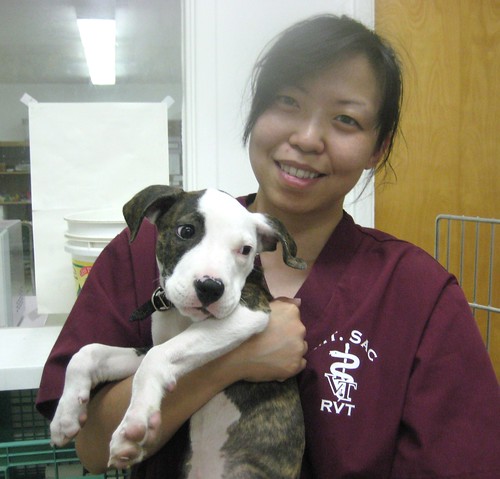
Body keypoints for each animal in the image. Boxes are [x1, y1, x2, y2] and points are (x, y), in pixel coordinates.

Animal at [52, 186, 306, 478]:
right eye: (186, 231)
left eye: (246, 250)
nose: (210, 287)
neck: (182, 315)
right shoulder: (153, 344)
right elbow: (87, 352)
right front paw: (66, 415)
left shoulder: (249, 312)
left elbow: (155, 360)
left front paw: (134, 425)